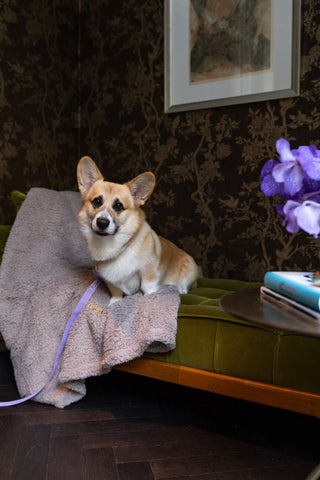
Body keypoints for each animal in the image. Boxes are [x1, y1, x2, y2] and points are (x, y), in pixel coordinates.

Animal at [77, 158, 200, 304]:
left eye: (118, 206)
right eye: (97, 201)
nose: (102, 222)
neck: (114, 246)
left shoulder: (148, 271)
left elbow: (147, 287)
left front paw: (149, 298)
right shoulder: (110, 281)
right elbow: (116, 292)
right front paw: (114, 303)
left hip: (189, 270)